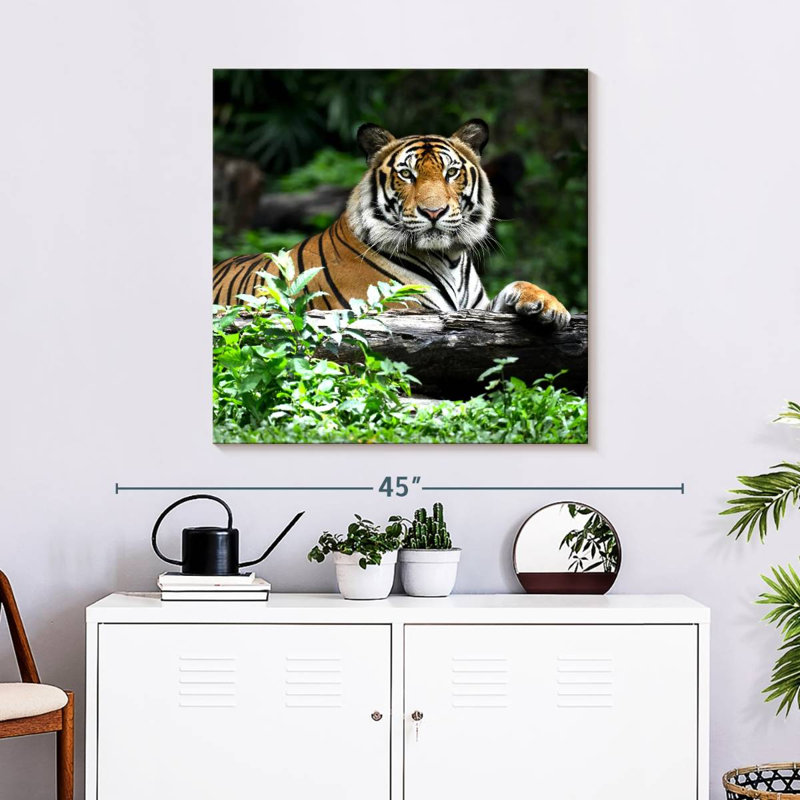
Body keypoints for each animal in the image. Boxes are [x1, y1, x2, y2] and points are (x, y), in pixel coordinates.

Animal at [213, 119, 570, 328]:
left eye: (451, 172)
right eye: (406, 174)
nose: (433, 212)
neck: (450, 258)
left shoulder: (475, 307)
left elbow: (517, 286)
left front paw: (550, 306)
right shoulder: (402, 308)